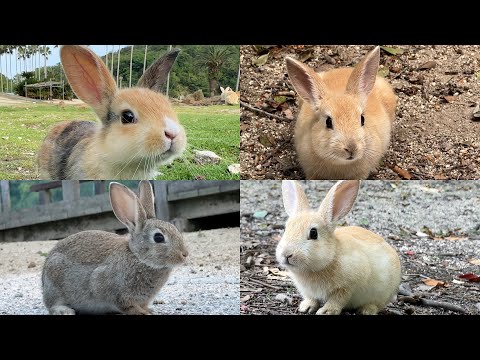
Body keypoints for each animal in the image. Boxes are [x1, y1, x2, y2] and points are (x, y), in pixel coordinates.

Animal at [41, 180, 188, 316]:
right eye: (158, 237)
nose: (185, 254)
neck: (138, 257)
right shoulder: (111, 289)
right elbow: (126, 305)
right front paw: (142, 312)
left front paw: (148, 310)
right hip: (54, 281)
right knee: (52, 304)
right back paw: (64, 310)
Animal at [276, 180, 400, 316]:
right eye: (286, 229)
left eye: (313, 233)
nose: (286, 254)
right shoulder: (308, 292)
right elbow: (312, 299)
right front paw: (306, 307)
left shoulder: (348, 286)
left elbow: (338, 299)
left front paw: (326, 311)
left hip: (382, 294)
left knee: (376, 305)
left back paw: (366, 310)